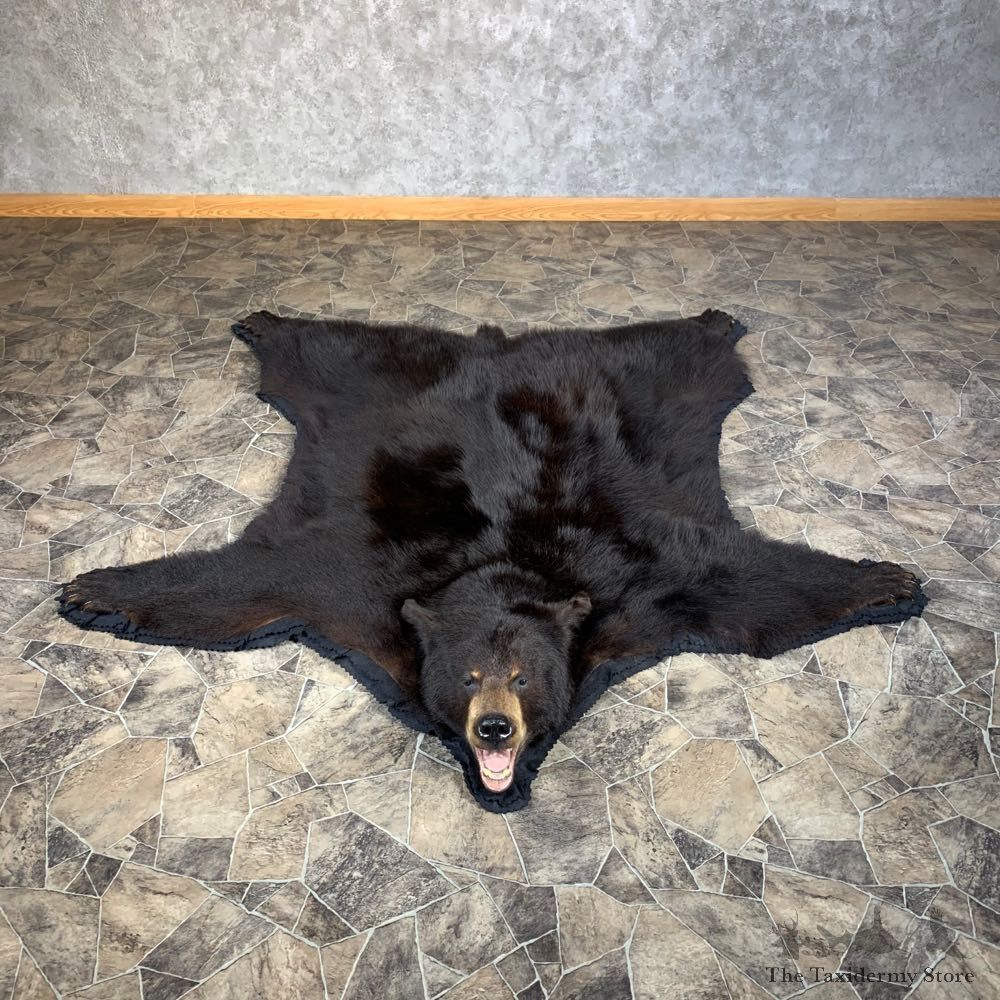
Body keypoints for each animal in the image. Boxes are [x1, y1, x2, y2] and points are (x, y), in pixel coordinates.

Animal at [60, 309, 924, 811]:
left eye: (526, 676)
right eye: (470, 676)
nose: (496, 730)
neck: (501, 567)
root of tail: (502, 347)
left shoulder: (642, 578)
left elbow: (747, 581)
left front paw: (889, 581)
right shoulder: (351, 577)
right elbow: (248, 581)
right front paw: (95, 592)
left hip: (651, 381)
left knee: (674, 349)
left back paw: (711, 319)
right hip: (361, 379)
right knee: (324, 348)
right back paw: (267, 320)